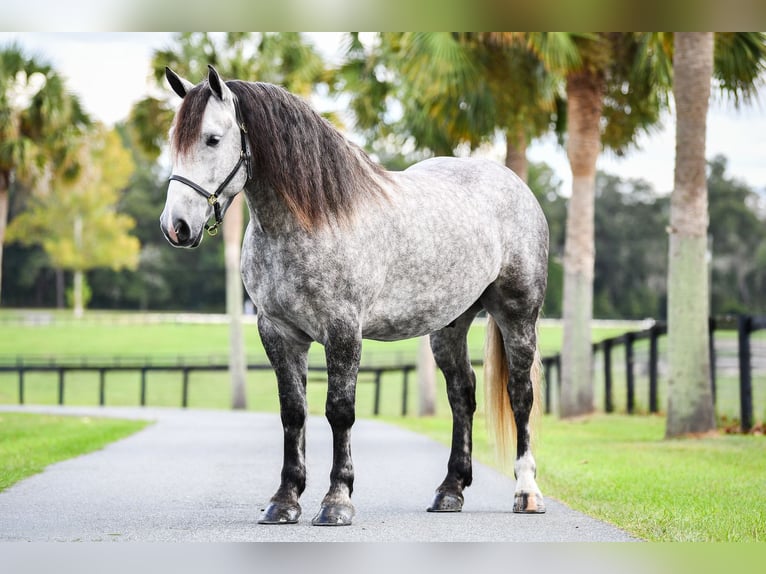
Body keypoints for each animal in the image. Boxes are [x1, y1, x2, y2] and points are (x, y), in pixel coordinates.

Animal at [160, 65, 549, 526]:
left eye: (212, 139)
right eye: (174, 140)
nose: (176, 226)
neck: (313, 218)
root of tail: (515, 185)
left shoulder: (343, 331)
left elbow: (339, 411)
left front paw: (336, 501)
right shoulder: (278, 332)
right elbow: (293, 412)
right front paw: (284, 500)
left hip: (517, 314)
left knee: (520, 394)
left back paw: (526, 492)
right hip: (449, 325)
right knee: (462, 394)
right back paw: (450, 490)